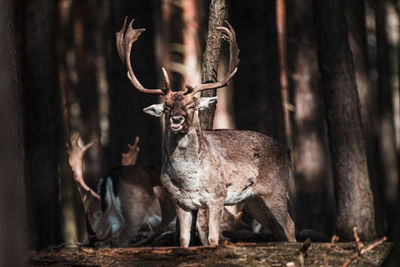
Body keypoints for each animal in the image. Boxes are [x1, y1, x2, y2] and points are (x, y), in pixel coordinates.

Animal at [117, 17, 296, 247]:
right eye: (166, 107)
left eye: (192, 106)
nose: (176, 119)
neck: (189, 182)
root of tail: (288, 150)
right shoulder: (181, 203)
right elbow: (184, 240)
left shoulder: (217, 196)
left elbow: (212, 239)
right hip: (254, 200)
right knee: (277, 231)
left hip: (276, 190)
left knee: (290, 226)